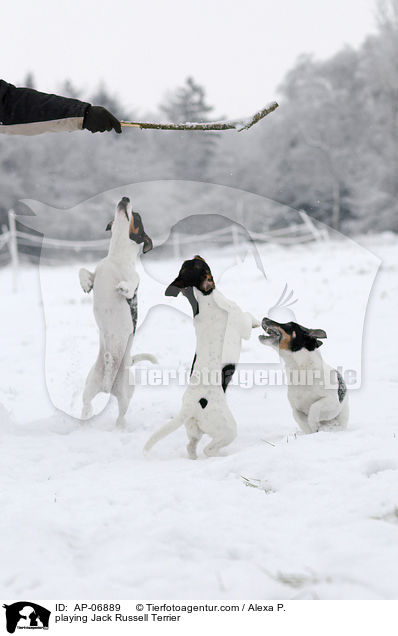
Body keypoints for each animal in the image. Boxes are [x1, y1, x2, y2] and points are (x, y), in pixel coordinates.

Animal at [79, 196, 155, 424]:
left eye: (136, 216)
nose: (125, 198)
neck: (116, 258)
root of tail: (107, 387)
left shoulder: (134, 281)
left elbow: (130, 284)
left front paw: (122, 287)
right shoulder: (98, 271)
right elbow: (83, 270)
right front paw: (85, 283)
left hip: (125, 393)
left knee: (121, 415)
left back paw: (118, 426)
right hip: (89, 384)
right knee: (86, 404)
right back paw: (85, 418)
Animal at [143, 253, 258, 458]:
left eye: (187, 264)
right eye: (200, 266)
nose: (197, 255)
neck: (203, 299)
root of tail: (189, 407)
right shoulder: (242, 325)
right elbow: (248, 317)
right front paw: (257, 322)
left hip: (194, 430)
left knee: (191, 446)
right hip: (227, 429)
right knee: (209, 449)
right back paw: (220, 455)